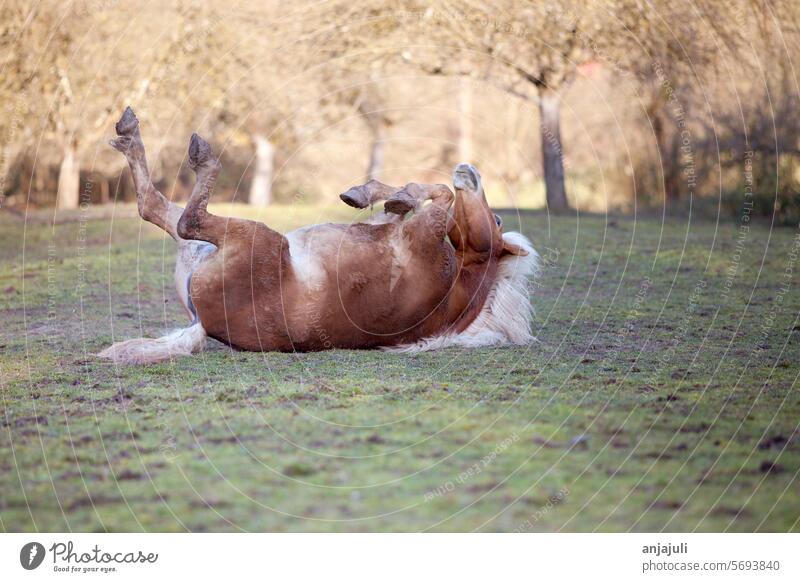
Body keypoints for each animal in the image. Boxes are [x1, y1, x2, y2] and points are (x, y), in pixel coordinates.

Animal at [100, 108, 536, 364]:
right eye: (498, 221)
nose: (470, 170)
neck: (455, 282)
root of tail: (203, 324)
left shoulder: (424, 231)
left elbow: (440, 193)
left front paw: (396, 193)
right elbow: (409, 198)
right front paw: (370, 193)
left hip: (254, 237)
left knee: (181, 217)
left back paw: (193, 153)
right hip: (201, 248)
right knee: (157, 209)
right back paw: (129, 133)